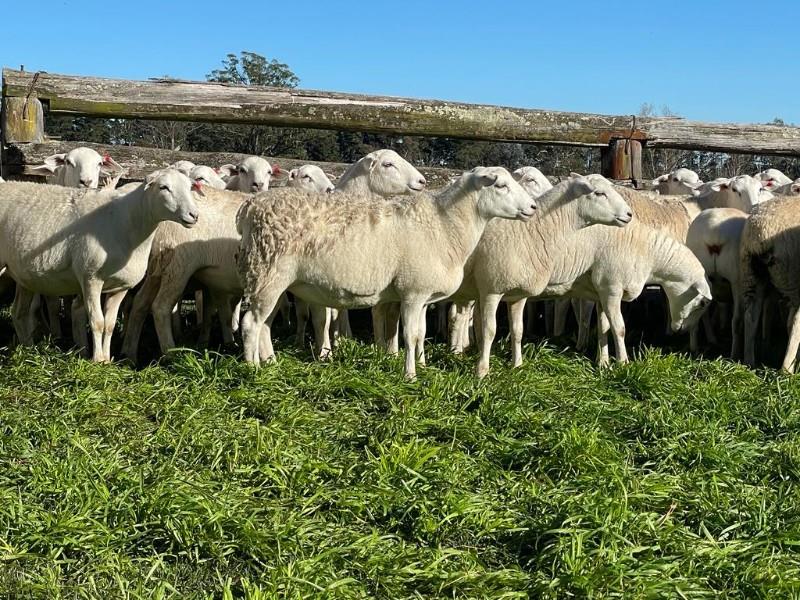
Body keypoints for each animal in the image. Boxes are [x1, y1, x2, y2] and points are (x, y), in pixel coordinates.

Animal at [0, 169, 200, 362]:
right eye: (163, 187)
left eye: (190, 187)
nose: (194, 215)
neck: (126, 223)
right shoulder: (91, 278)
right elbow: (97, 322)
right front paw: (97, 360)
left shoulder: (120, 287)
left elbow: (109, 325)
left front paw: (107, 360)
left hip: (23, 275)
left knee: (19, 312)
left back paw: (27, 350)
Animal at [235, 166, 537, 379]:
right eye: (501, 185)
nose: (533, 207)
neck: (445, 226)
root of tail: (250, 207)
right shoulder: (413, 291)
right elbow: (410, 335)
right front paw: (410, 375)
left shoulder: (420, 294)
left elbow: (418, 333)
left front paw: (419, 365)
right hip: (267, 272)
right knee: (251, 323)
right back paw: (253, 370)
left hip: (272, 279)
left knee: (264, 324)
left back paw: (270, 362)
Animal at [686, 208, 748, 358]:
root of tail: (714, 233)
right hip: (737, 279)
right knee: (737, 321)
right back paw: (734, 355)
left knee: (698, 313)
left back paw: (696, 347)